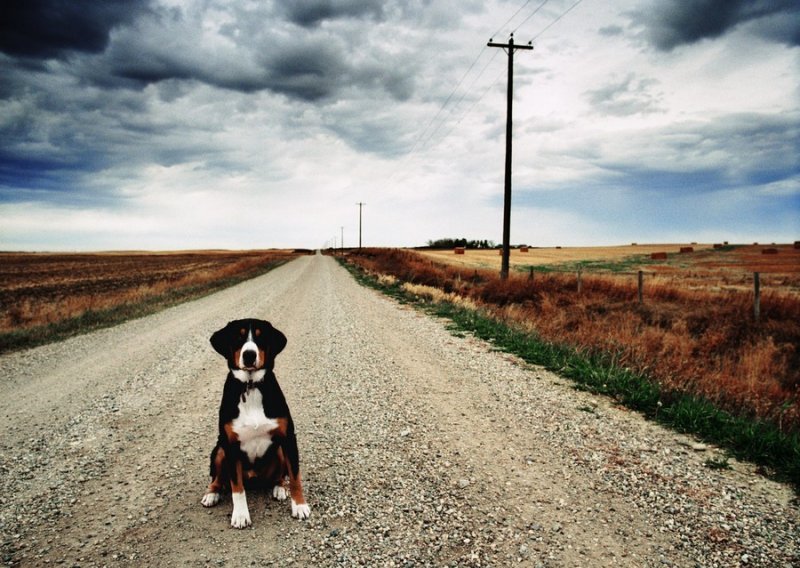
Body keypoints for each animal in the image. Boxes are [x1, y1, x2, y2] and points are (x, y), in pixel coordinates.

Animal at [202, 318, 310, 524]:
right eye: (238, 336)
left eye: (261, 337)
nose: (249, 355)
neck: (250, 386)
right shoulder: (230, 445)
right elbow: (237, 487)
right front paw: (240, 515)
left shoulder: (288, 438)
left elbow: (295, 477)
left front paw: (300, 505)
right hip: (219, 450)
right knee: (217, 478)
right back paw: (211, 493)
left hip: (279, 450)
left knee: (279, 476)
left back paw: (279, 488)